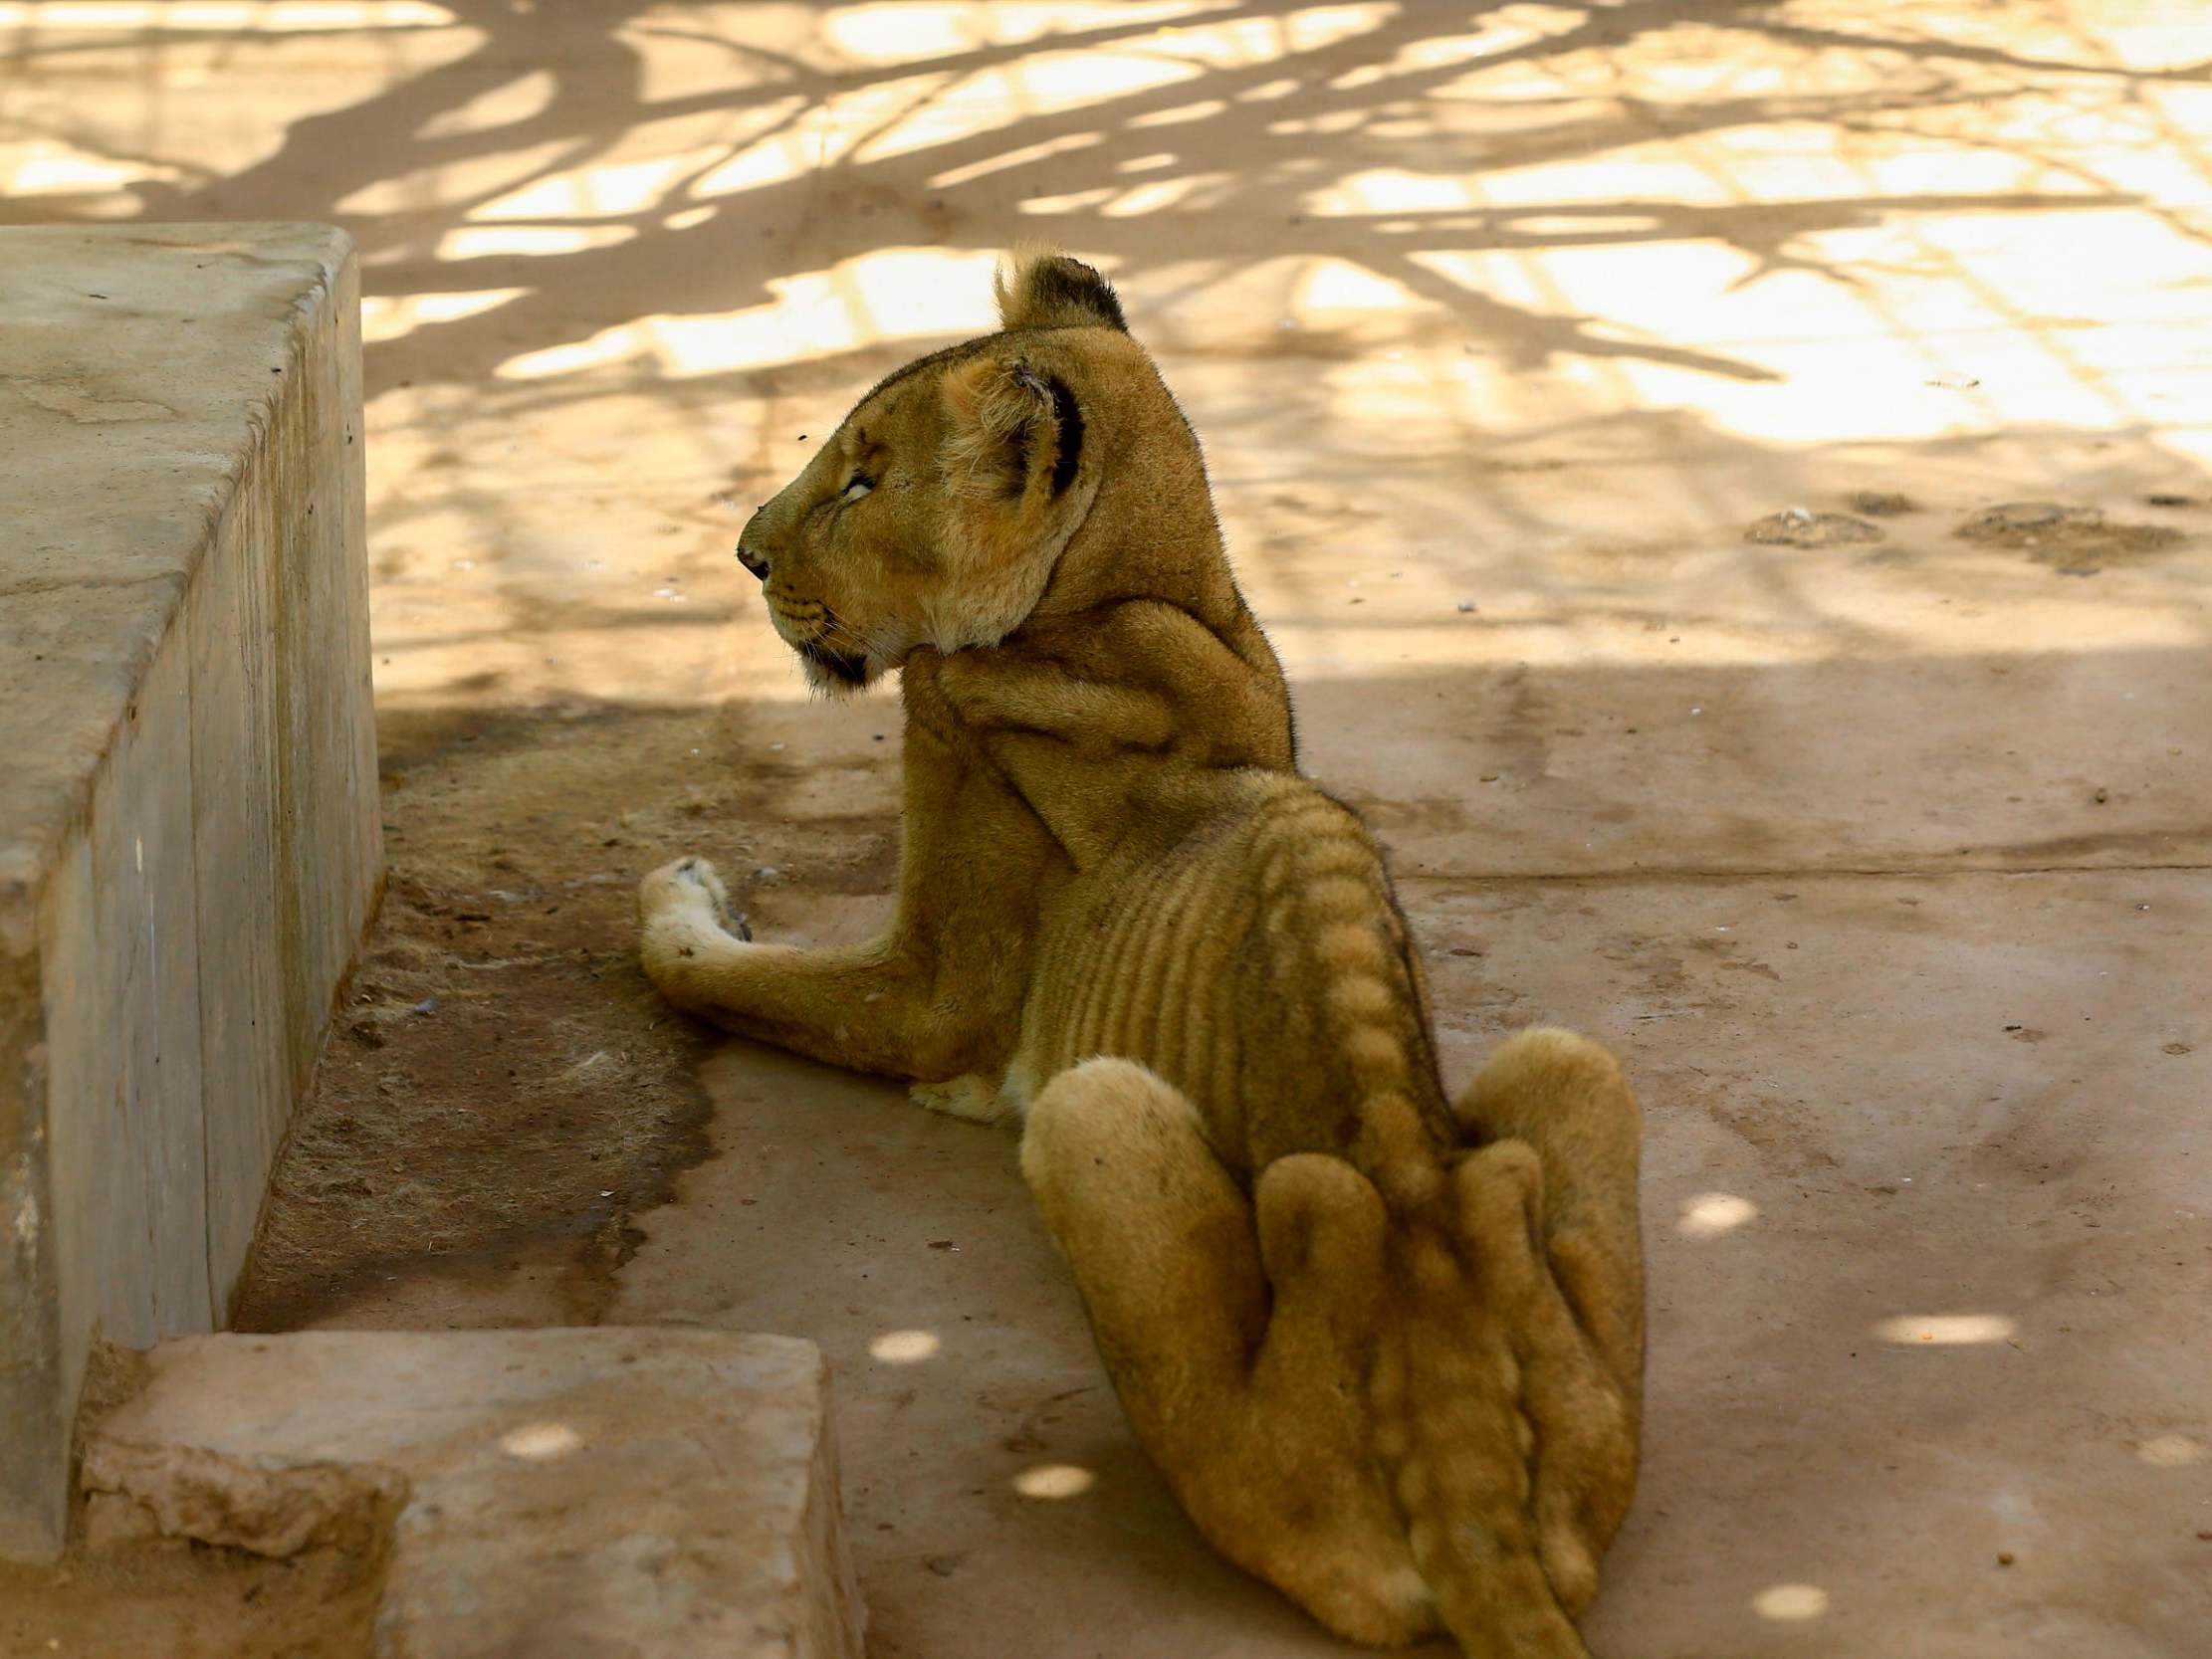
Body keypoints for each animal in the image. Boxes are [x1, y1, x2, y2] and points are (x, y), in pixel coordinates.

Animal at [638, 251, 1645, 1657]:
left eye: (863, 479)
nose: (743, 556)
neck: (1146, 597)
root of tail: (1473, 1483)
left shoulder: (931, 982)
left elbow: (722, 972)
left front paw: (672, 888)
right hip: (1577, 1077)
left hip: (1089, 1115)